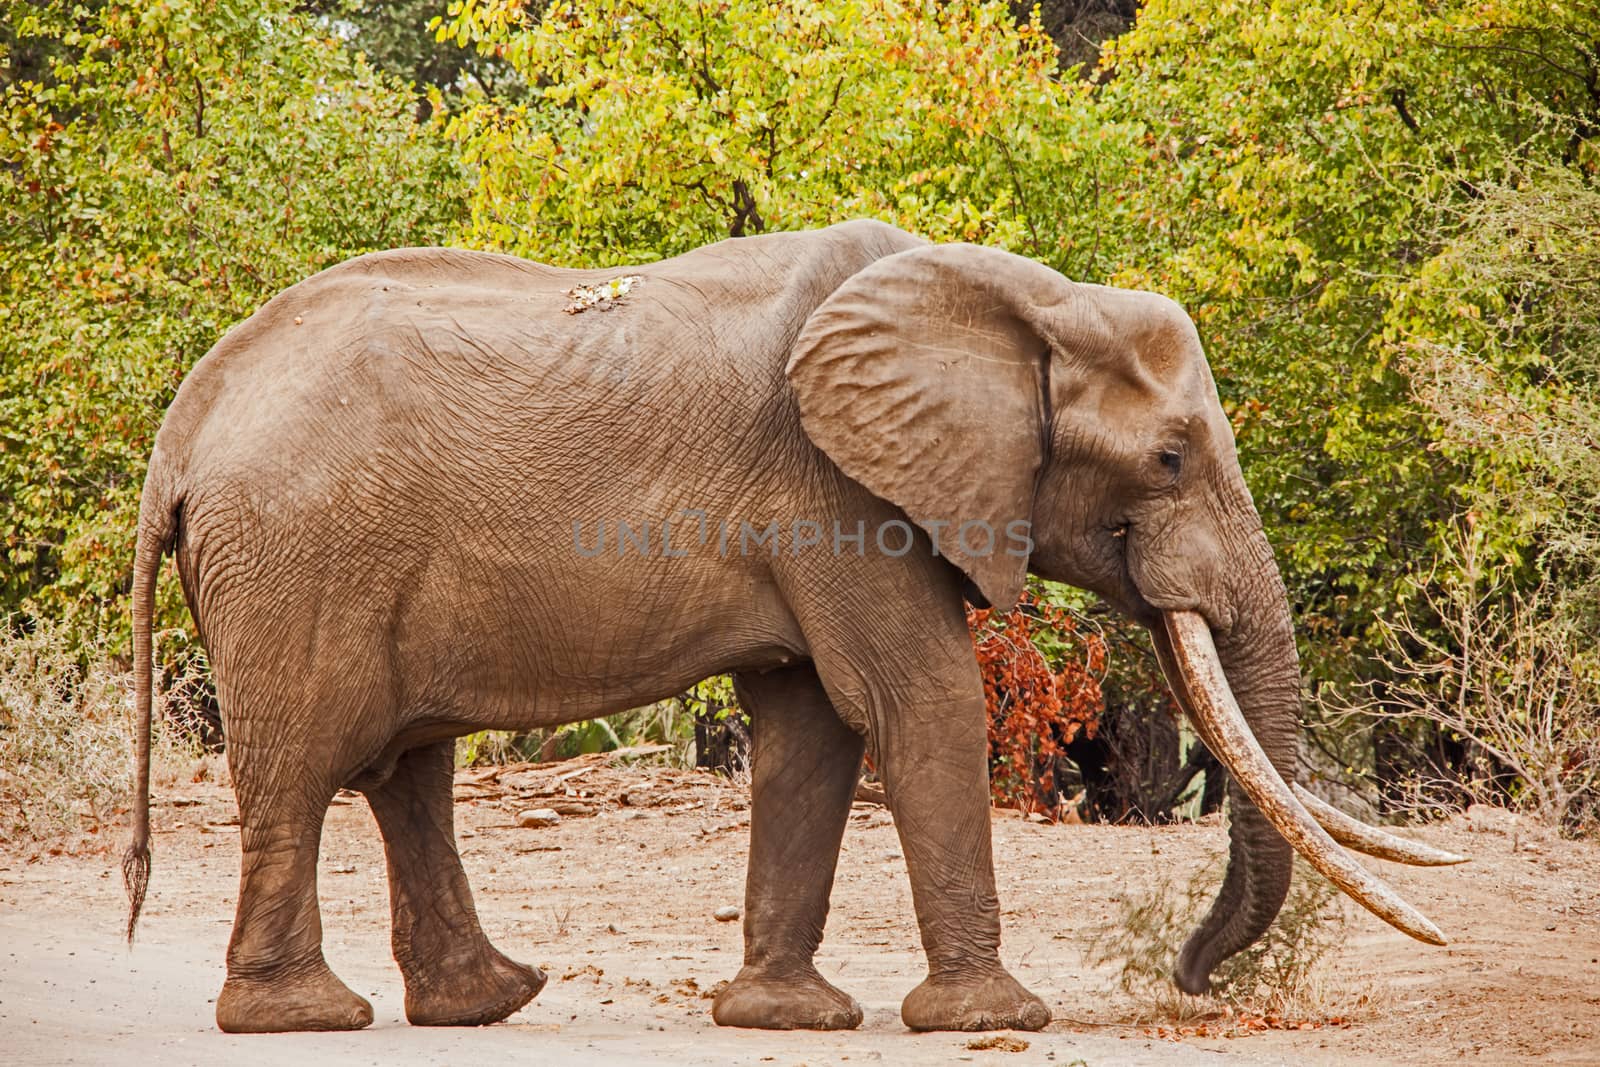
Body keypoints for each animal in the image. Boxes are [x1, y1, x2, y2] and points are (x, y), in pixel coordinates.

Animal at [121, 219, 1465, 1036]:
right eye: (1172, 457)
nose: (1188, 977)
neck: (1019, 298)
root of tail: (183, 427)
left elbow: (815, 728)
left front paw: (785, 1017)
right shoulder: (839, 493)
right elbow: (919, 702)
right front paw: (997, 1019)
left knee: (408, 767)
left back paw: (487, 1000)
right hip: (298, 556)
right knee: (306, 764)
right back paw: (306, 1018)